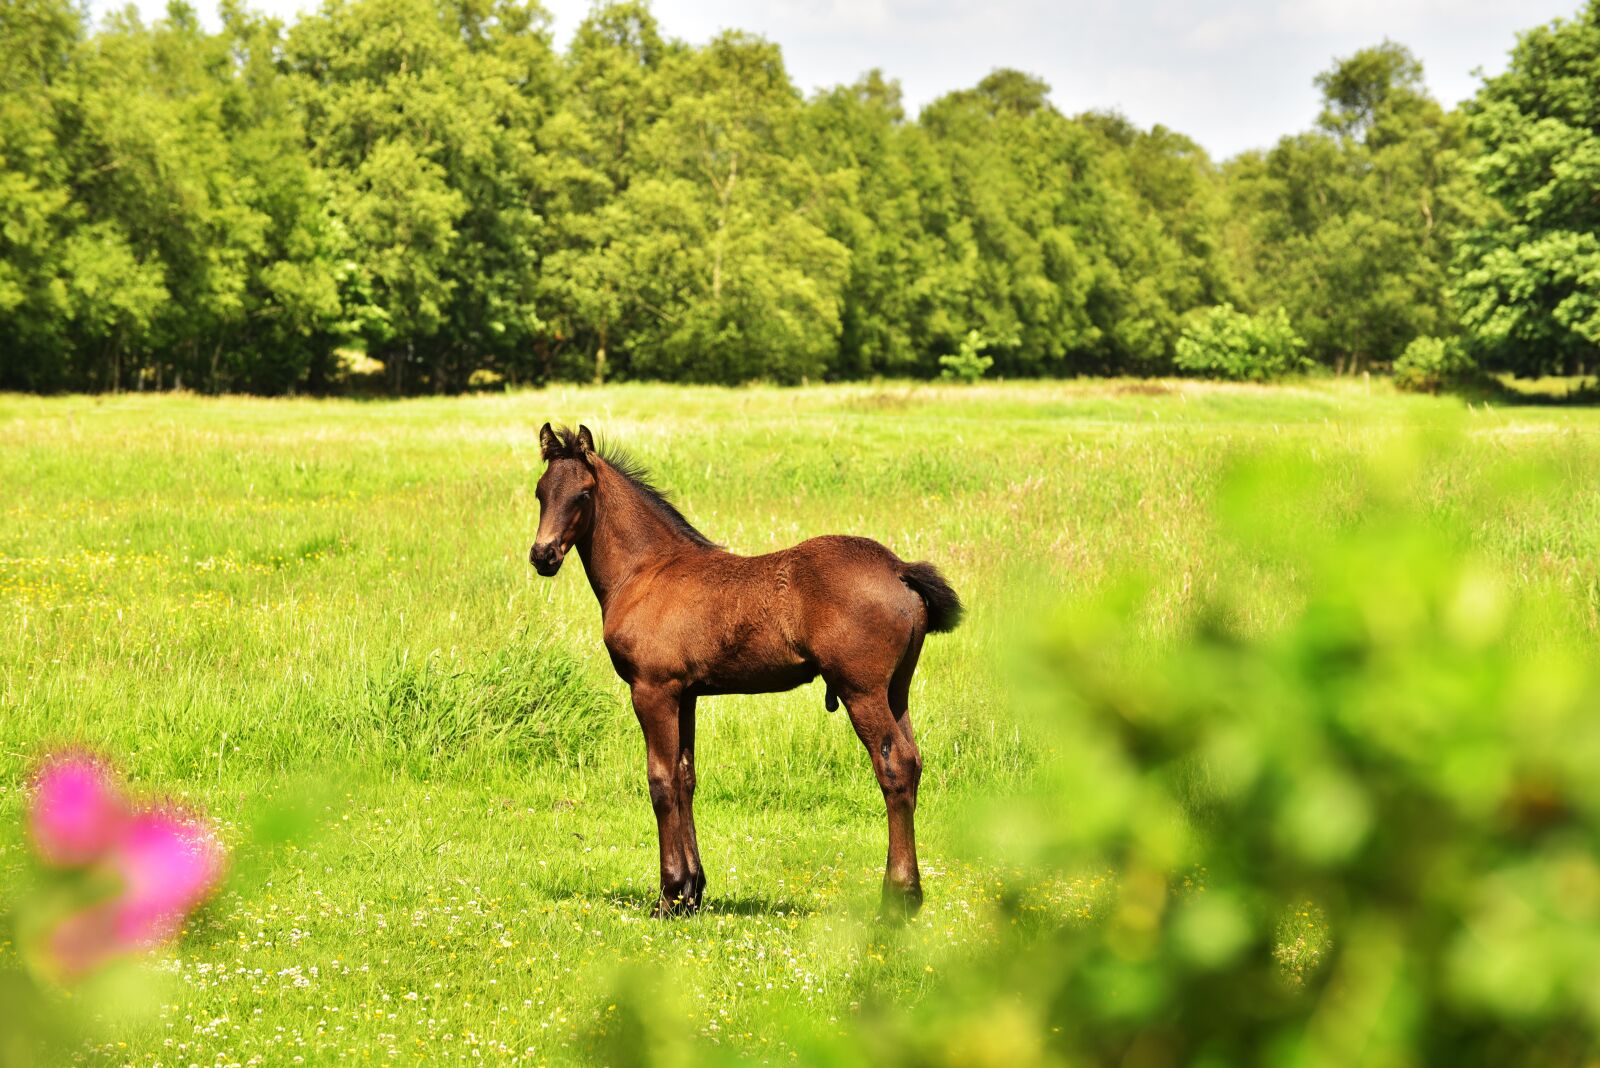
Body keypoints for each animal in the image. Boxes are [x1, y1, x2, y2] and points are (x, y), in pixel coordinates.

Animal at [528, 424, 963, 918]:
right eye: (541, 492)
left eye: (583, 494)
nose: (542, 555)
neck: (645, 572)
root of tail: (899, 569)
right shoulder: (686, 694)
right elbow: (685, 777)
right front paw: (692, 894)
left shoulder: (652, 690)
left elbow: (661, 781)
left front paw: (668, 896)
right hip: (896, 690)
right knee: (914, 762)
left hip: (862, 691)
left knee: (894, 767)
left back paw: (897, 898)